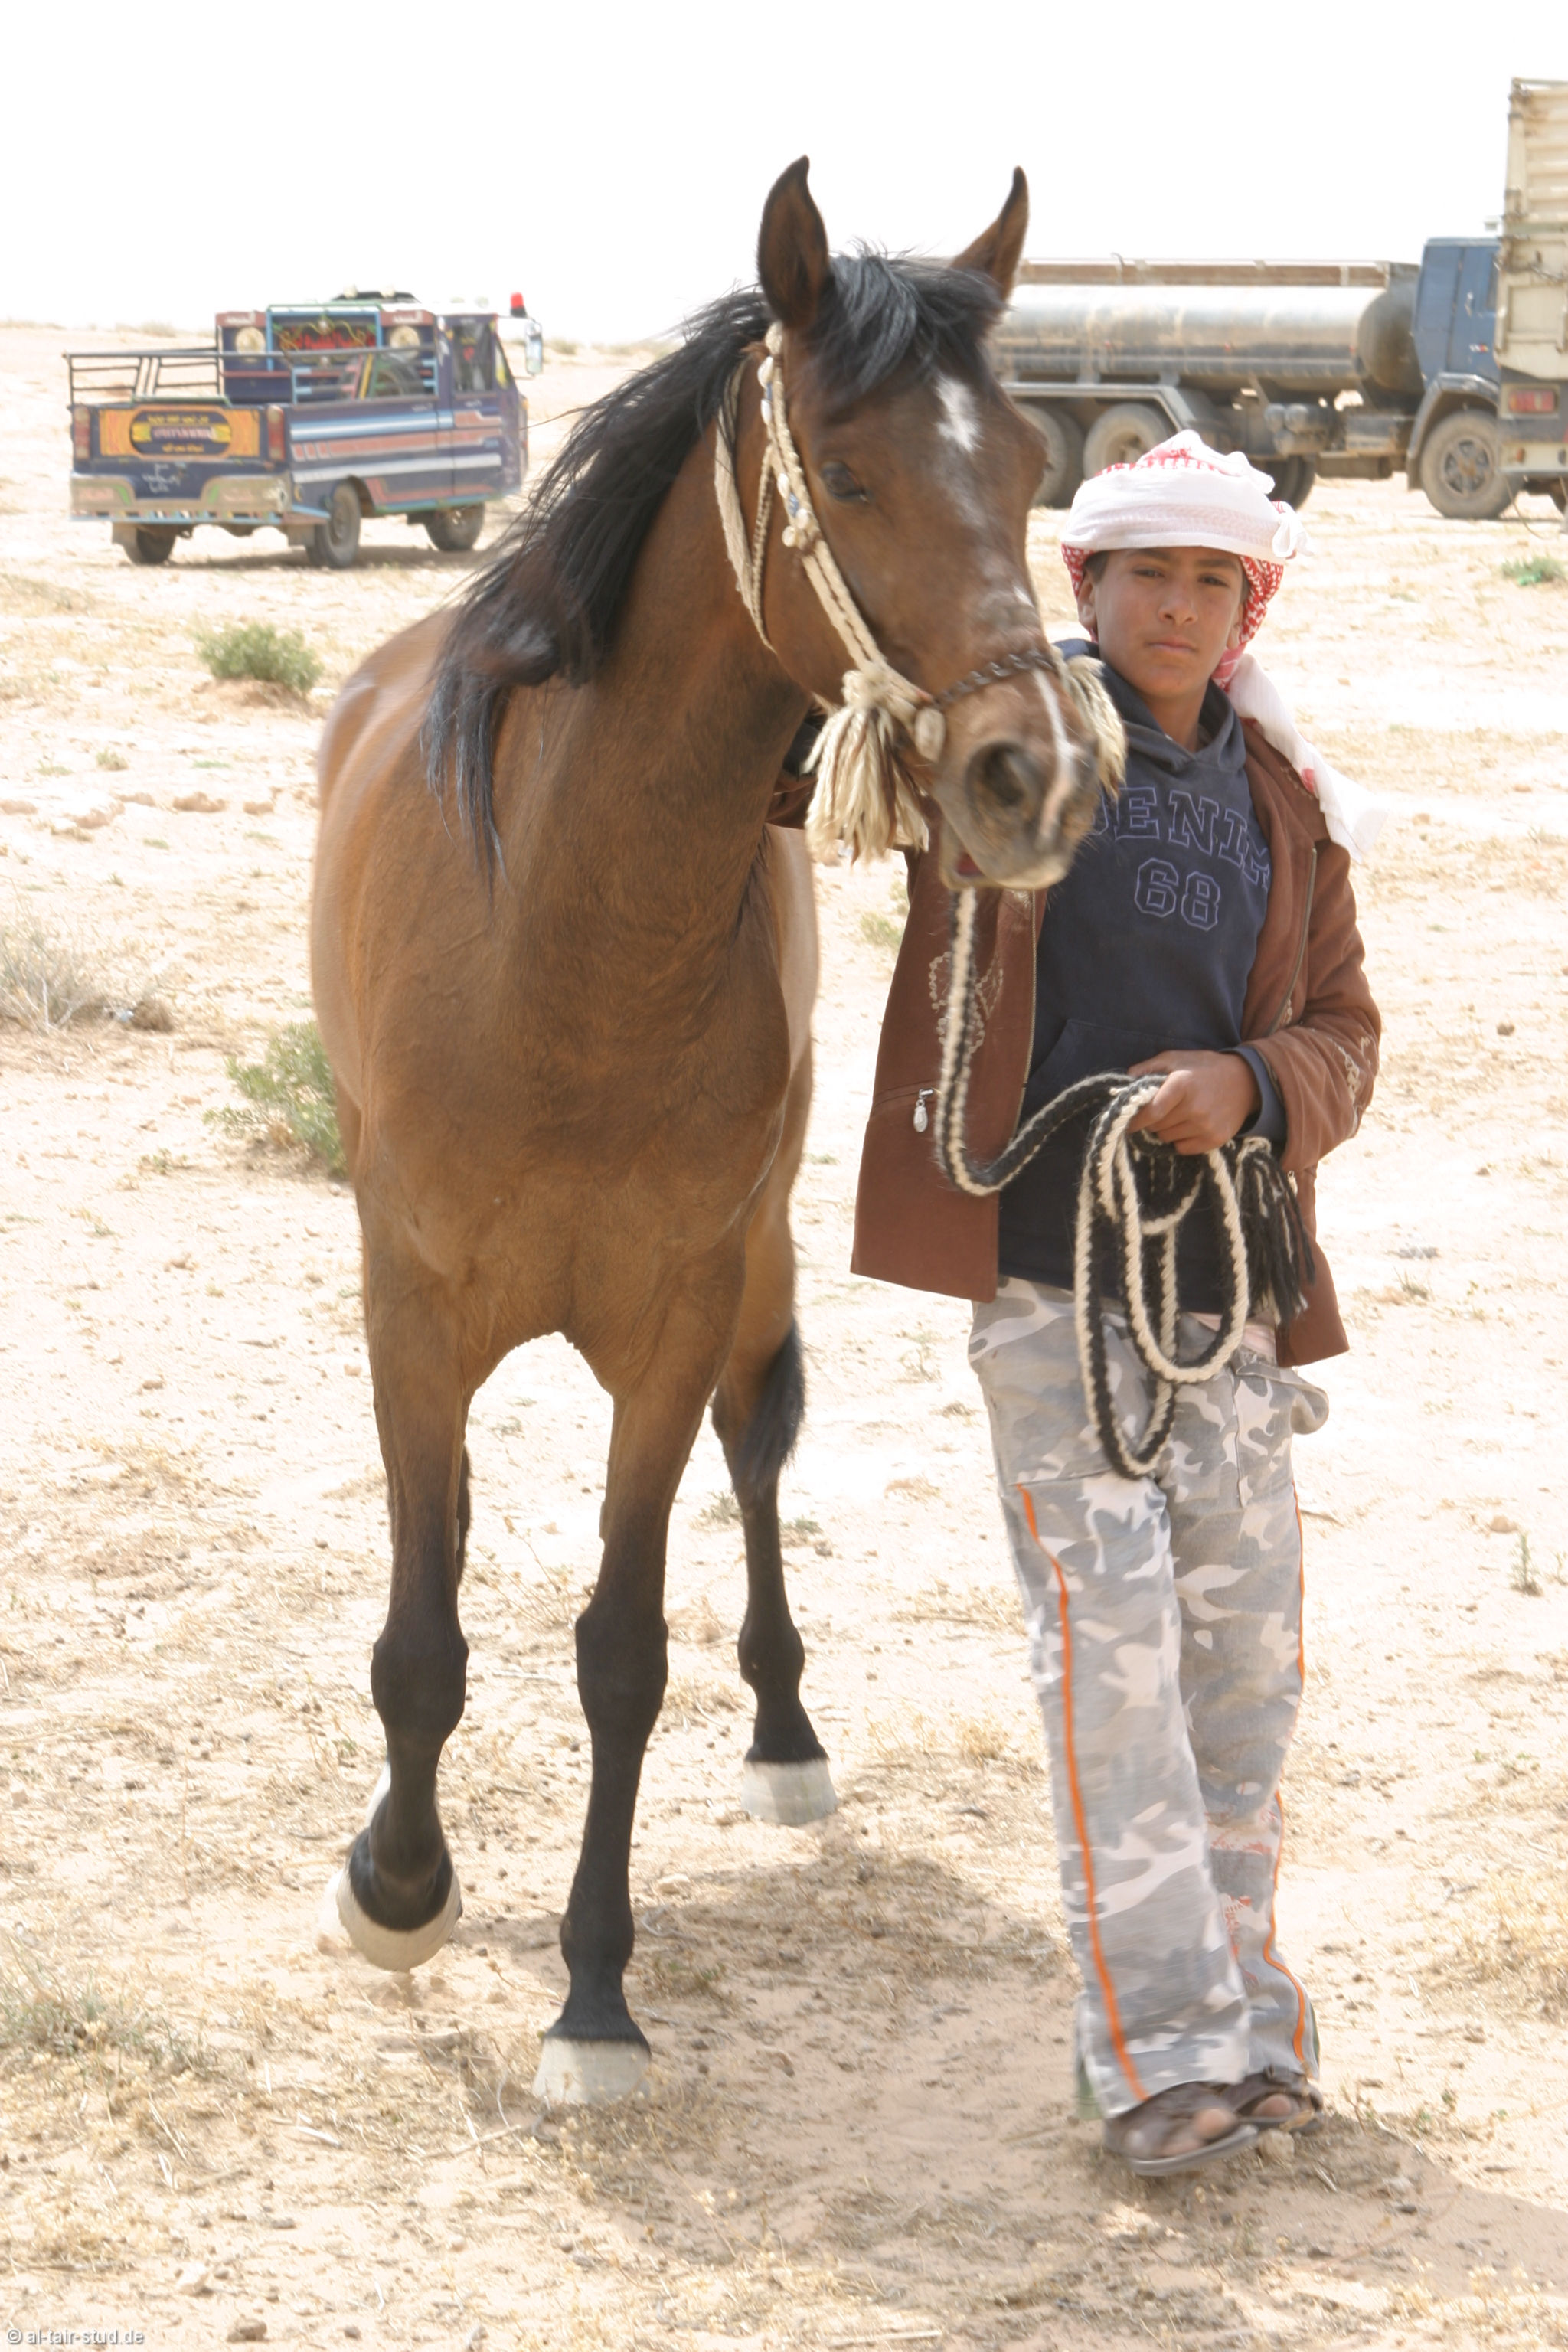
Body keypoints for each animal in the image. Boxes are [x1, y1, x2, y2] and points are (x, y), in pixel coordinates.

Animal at [310, 156, 1118, 2105]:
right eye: (847, 469)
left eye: (1028, 469)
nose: (1035, 776)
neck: (559, 945)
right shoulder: (410, 1306)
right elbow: (423, 1630)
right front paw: (399, 1885)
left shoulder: (674, 1309)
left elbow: (619, 1646)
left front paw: (594, 1996)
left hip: (751, 1267)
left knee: (760, 1453)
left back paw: (786, 1728)